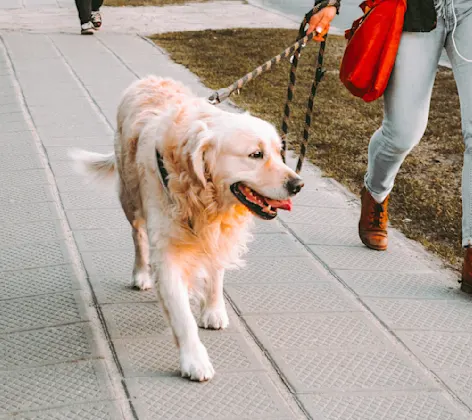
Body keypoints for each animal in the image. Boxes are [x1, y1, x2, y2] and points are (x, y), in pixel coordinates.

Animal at [72, 75, 304, 380]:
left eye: (279, 153)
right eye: (256, 154)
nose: (298, 184)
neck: (203, 196)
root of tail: (148, 79)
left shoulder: (217, 235)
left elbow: (216, 273)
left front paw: (213, 310)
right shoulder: (167, 252)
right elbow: (182, 316)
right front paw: (194, 360)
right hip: (130, 198)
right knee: (138, 236)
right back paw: (141, 274)